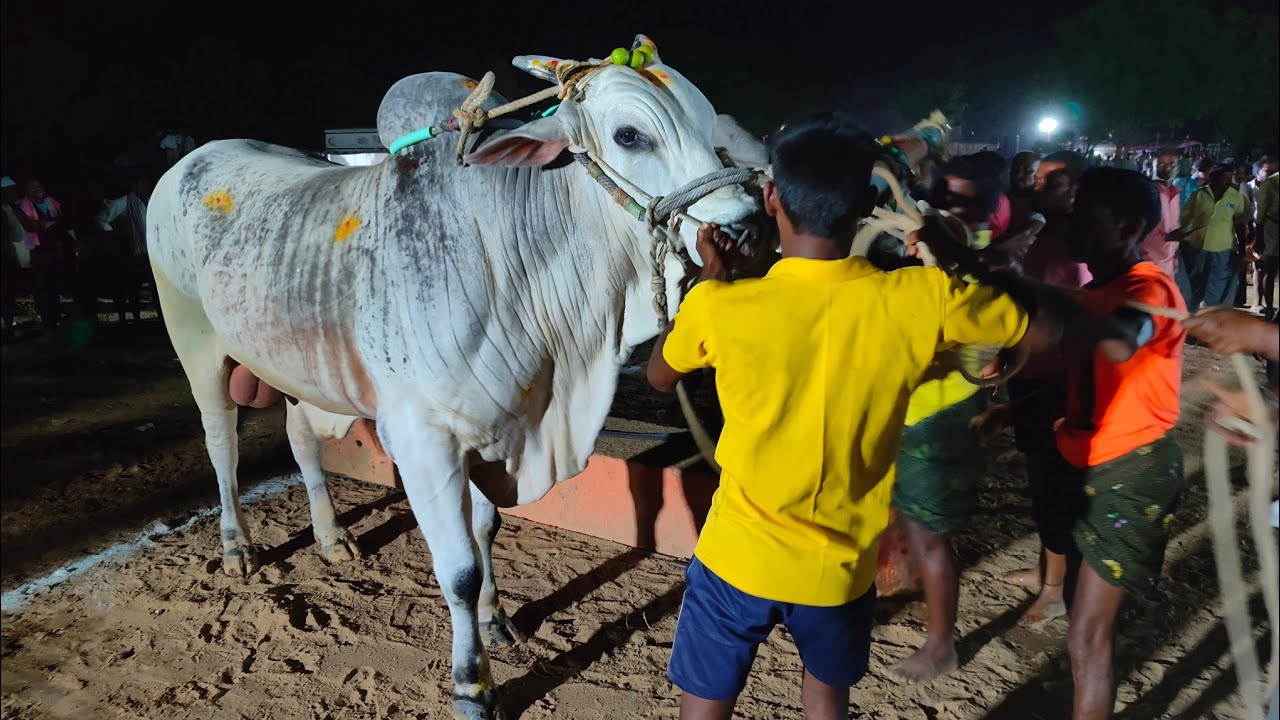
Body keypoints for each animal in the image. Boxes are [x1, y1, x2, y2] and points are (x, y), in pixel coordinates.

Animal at [148, 35, 760, 719]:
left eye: (709, 125)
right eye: (630, 135)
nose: (745, 227)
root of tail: (194, 157)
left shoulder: (495, 424)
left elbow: (487, 526)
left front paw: (496, 619)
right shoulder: (425, 439)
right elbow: (458, 567)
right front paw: (473, 685)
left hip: (295, 366)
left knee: (301, 439)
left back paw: (331, 537)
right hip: (196, 344)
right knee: (222, 445)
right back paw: (237, 547)